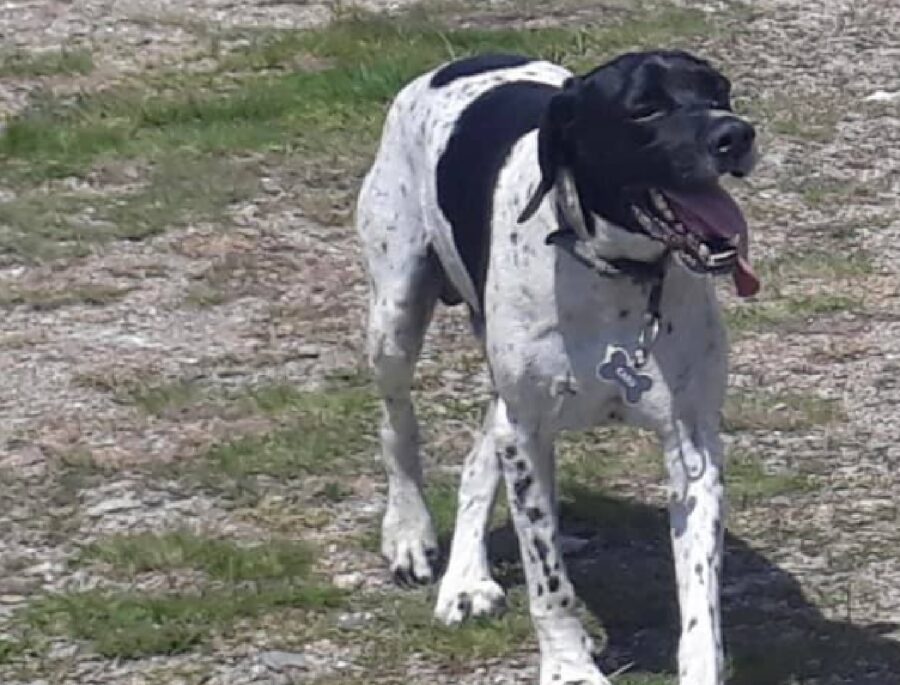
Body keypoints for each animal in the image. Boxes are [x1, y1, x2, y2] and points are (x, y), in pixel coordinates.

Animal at [356, 52, 760, 684]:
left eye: (720, 91)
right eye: (644, 108)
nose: (736, 134)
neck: (615, 273)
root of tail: (458, 62)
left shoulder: (692, 444)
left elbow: (701, 599)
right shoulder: (527, 435)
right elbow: (549, 581)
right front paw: (569, 665)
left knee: (478, 454)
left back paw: (466, 578)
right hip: (395, 315)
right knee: (397, 425)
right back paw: (409, 532)